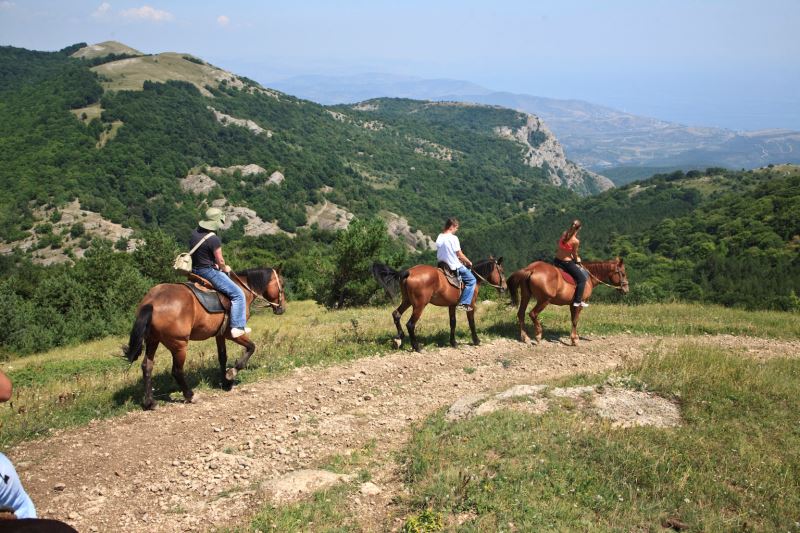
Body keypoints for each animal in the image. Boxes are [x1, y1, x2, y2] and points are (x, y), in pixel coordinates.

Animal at [123, 268, 286, 410]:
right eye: (282, 285)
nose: (282, 308)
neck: (243, 290)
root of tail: (152, 301)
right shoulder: (231, 333)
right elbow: (251, 347)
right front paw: (231, 373)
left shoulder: (220, 335)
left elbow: (222, 357)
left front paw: (225, 382)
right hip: (179, 345)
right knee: (176, 371)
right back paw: (190, 395)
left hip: (152, 340)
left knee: (147, 367)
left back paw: (150, 402)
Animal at [374, 258, 506, 354]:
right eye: (502, 271)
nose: (504, 288)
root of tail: (408, 272)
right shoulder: (470, 305)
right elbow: (471, 322)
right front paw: (476, 340)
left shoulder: (451, 306)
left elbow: (453, 323)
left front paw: (453, 342)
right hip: (419, 305)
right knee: (410, 324)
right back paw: (417, 346)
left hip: (407, 301)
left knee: (396, 314)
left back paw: (399, 338)